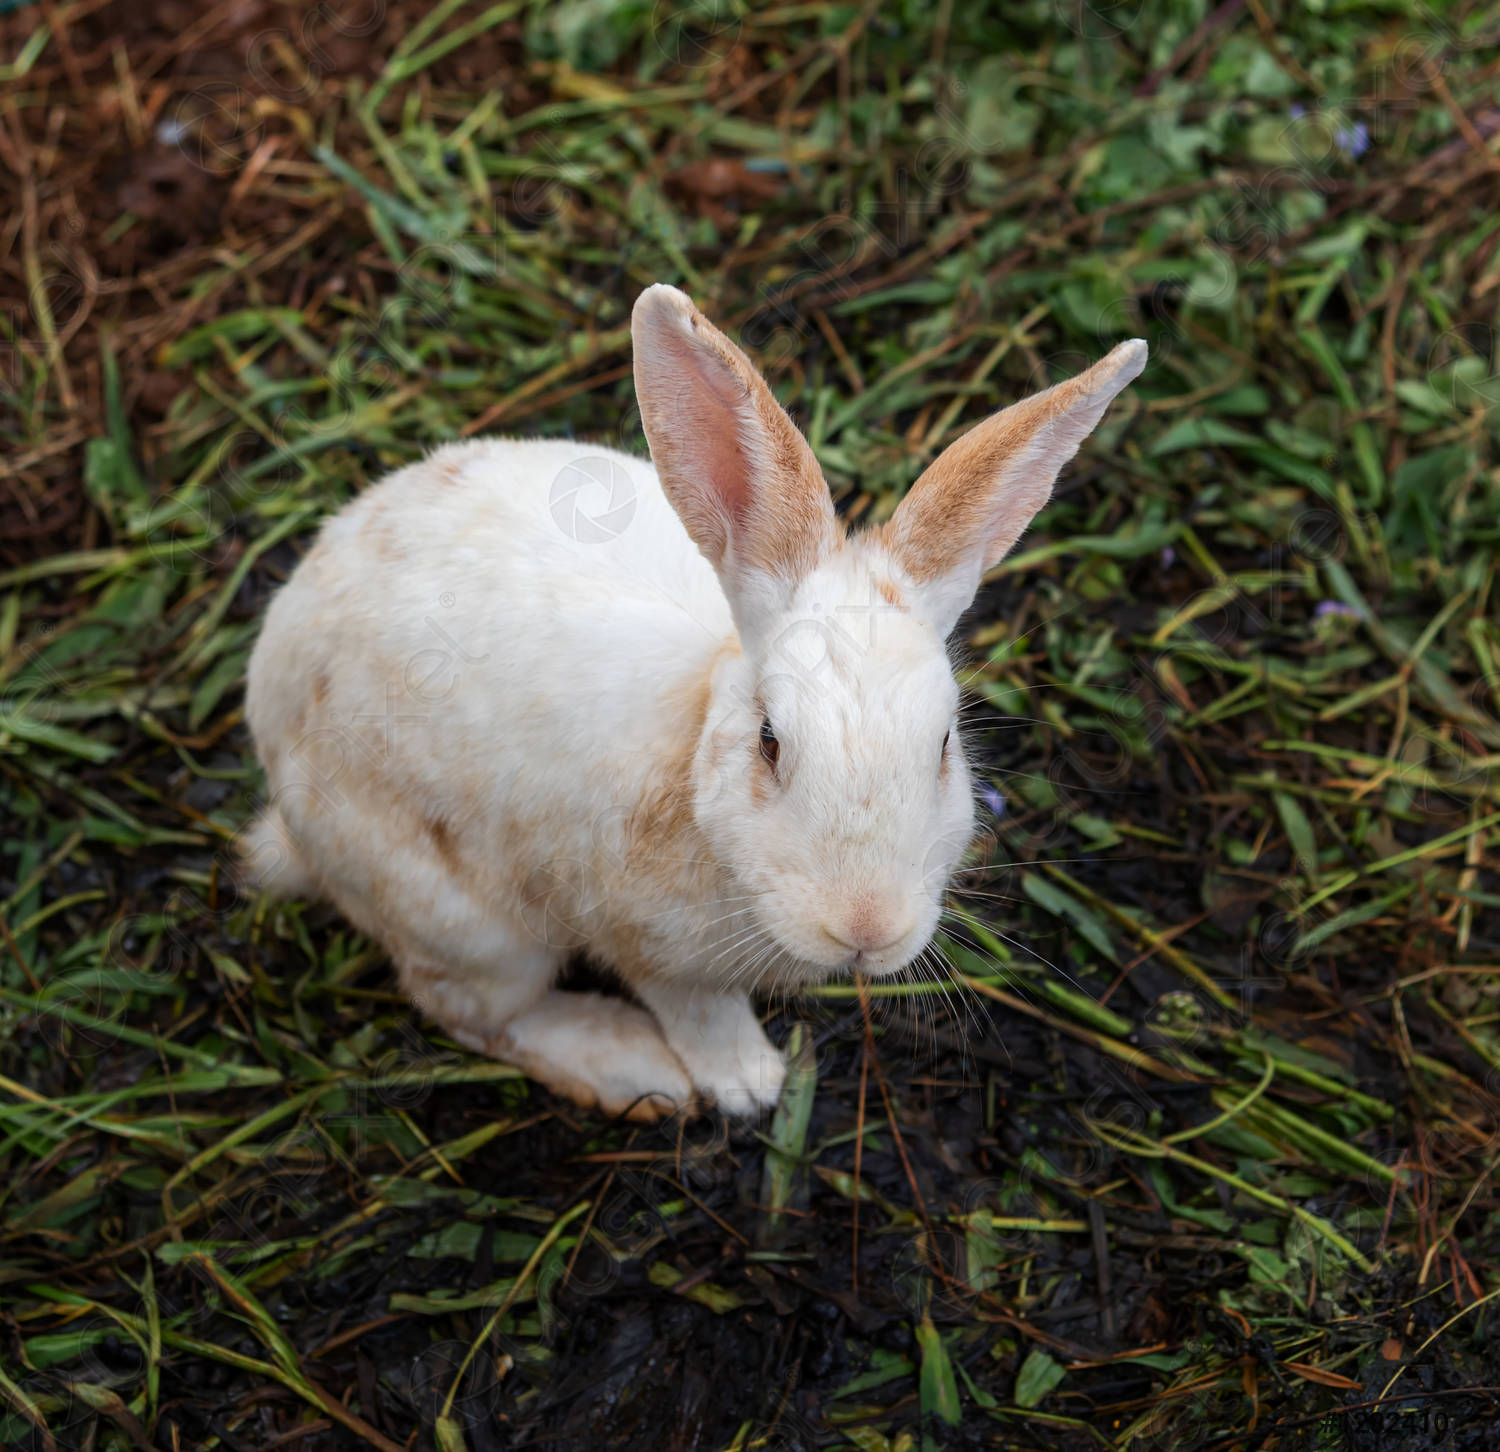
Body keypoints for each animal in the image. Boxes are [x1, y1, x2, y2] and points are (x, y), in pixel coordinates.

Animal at [240, 286, 1140, 1122]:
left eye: (945, 745)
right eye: (770, 742)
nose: (865, 929)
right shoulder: (651, 952)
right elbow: (699, 1014)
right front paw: (749, 1085)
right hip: (465, 926)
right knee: (474, 1014)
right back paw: (631, 1070)